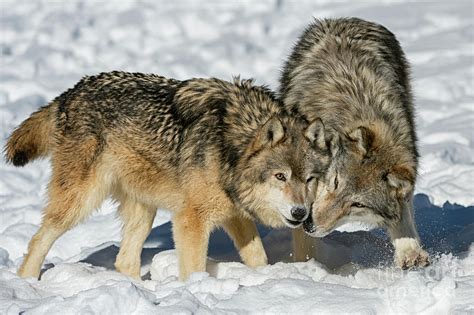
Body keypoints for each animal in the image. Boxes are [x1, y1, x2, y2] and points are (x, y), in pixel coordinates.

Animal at [6, 71, 334, 278]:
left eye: (309, 179)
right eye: (280, 177)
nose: (300, 213)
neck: (230, 145)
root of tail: (70, 92)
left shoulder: (234, 215)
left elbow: (259, 258)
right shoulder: (191, 219)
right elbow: (194, 269)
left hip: (143, 211)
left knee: (124, 261)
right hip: (80, 202)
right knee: (38, 240)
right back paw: (27, 282)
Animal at [280, 17, 432, 270]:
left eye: (357, 205)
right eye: (334, 182)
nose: (310, 224)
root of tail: (347, 19)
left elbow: (401, 216)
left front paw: (410, 251)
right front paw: (305, 269)